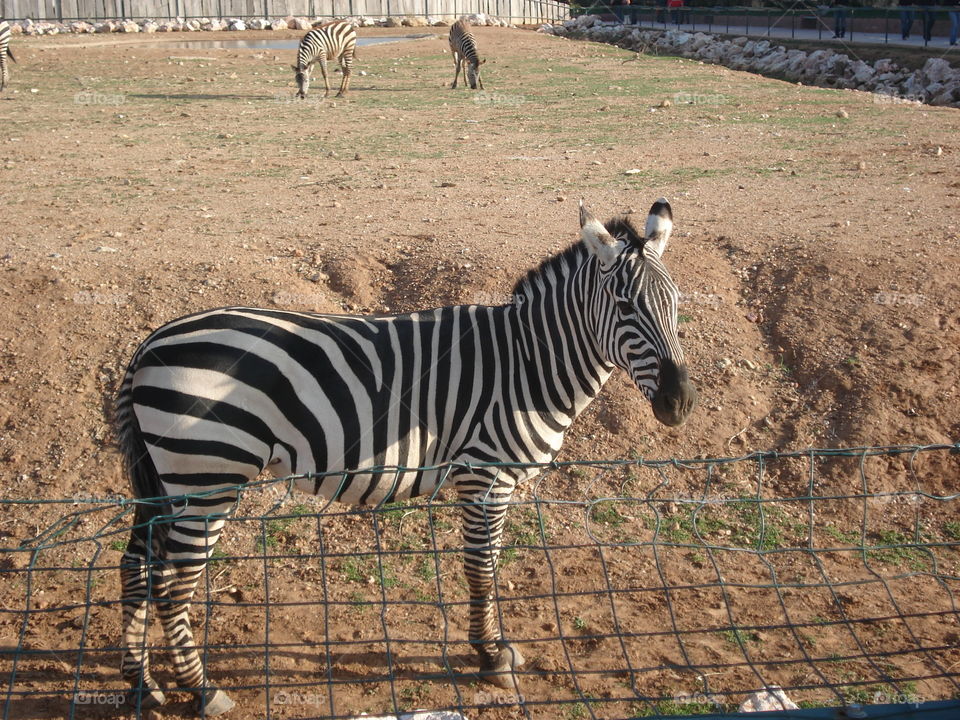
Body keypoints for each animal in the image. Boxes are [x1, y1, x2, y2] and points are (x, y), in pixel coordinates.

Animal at [114, 199, 697, 715]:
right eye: (625, 307)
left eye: (675, 303)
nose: (680, 403)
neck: (527, 363)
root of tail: (149, 344)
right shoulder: (485, 473)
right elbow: (481, 566)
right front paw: (490, 656)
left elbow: (488, 562)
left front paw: (492, 647)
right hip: (209, 477)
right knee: (172, 584)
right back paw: (201, 691)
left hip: (167, 483)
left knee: (136, 566)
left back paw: (143, 685)